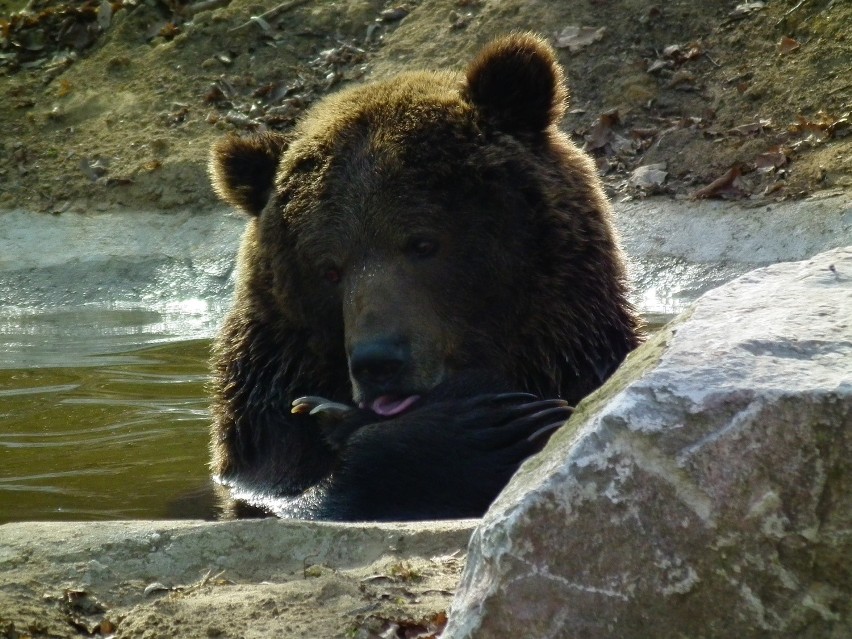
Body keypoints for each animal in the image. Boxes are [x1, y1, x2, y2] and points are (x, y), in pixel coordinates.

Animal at [210, 33, 644, 520]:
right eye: (329, 268)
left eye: (422, 244)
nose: (378, 362)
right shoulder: (266, 424)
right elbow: (288, 489)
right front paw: (480, 429)